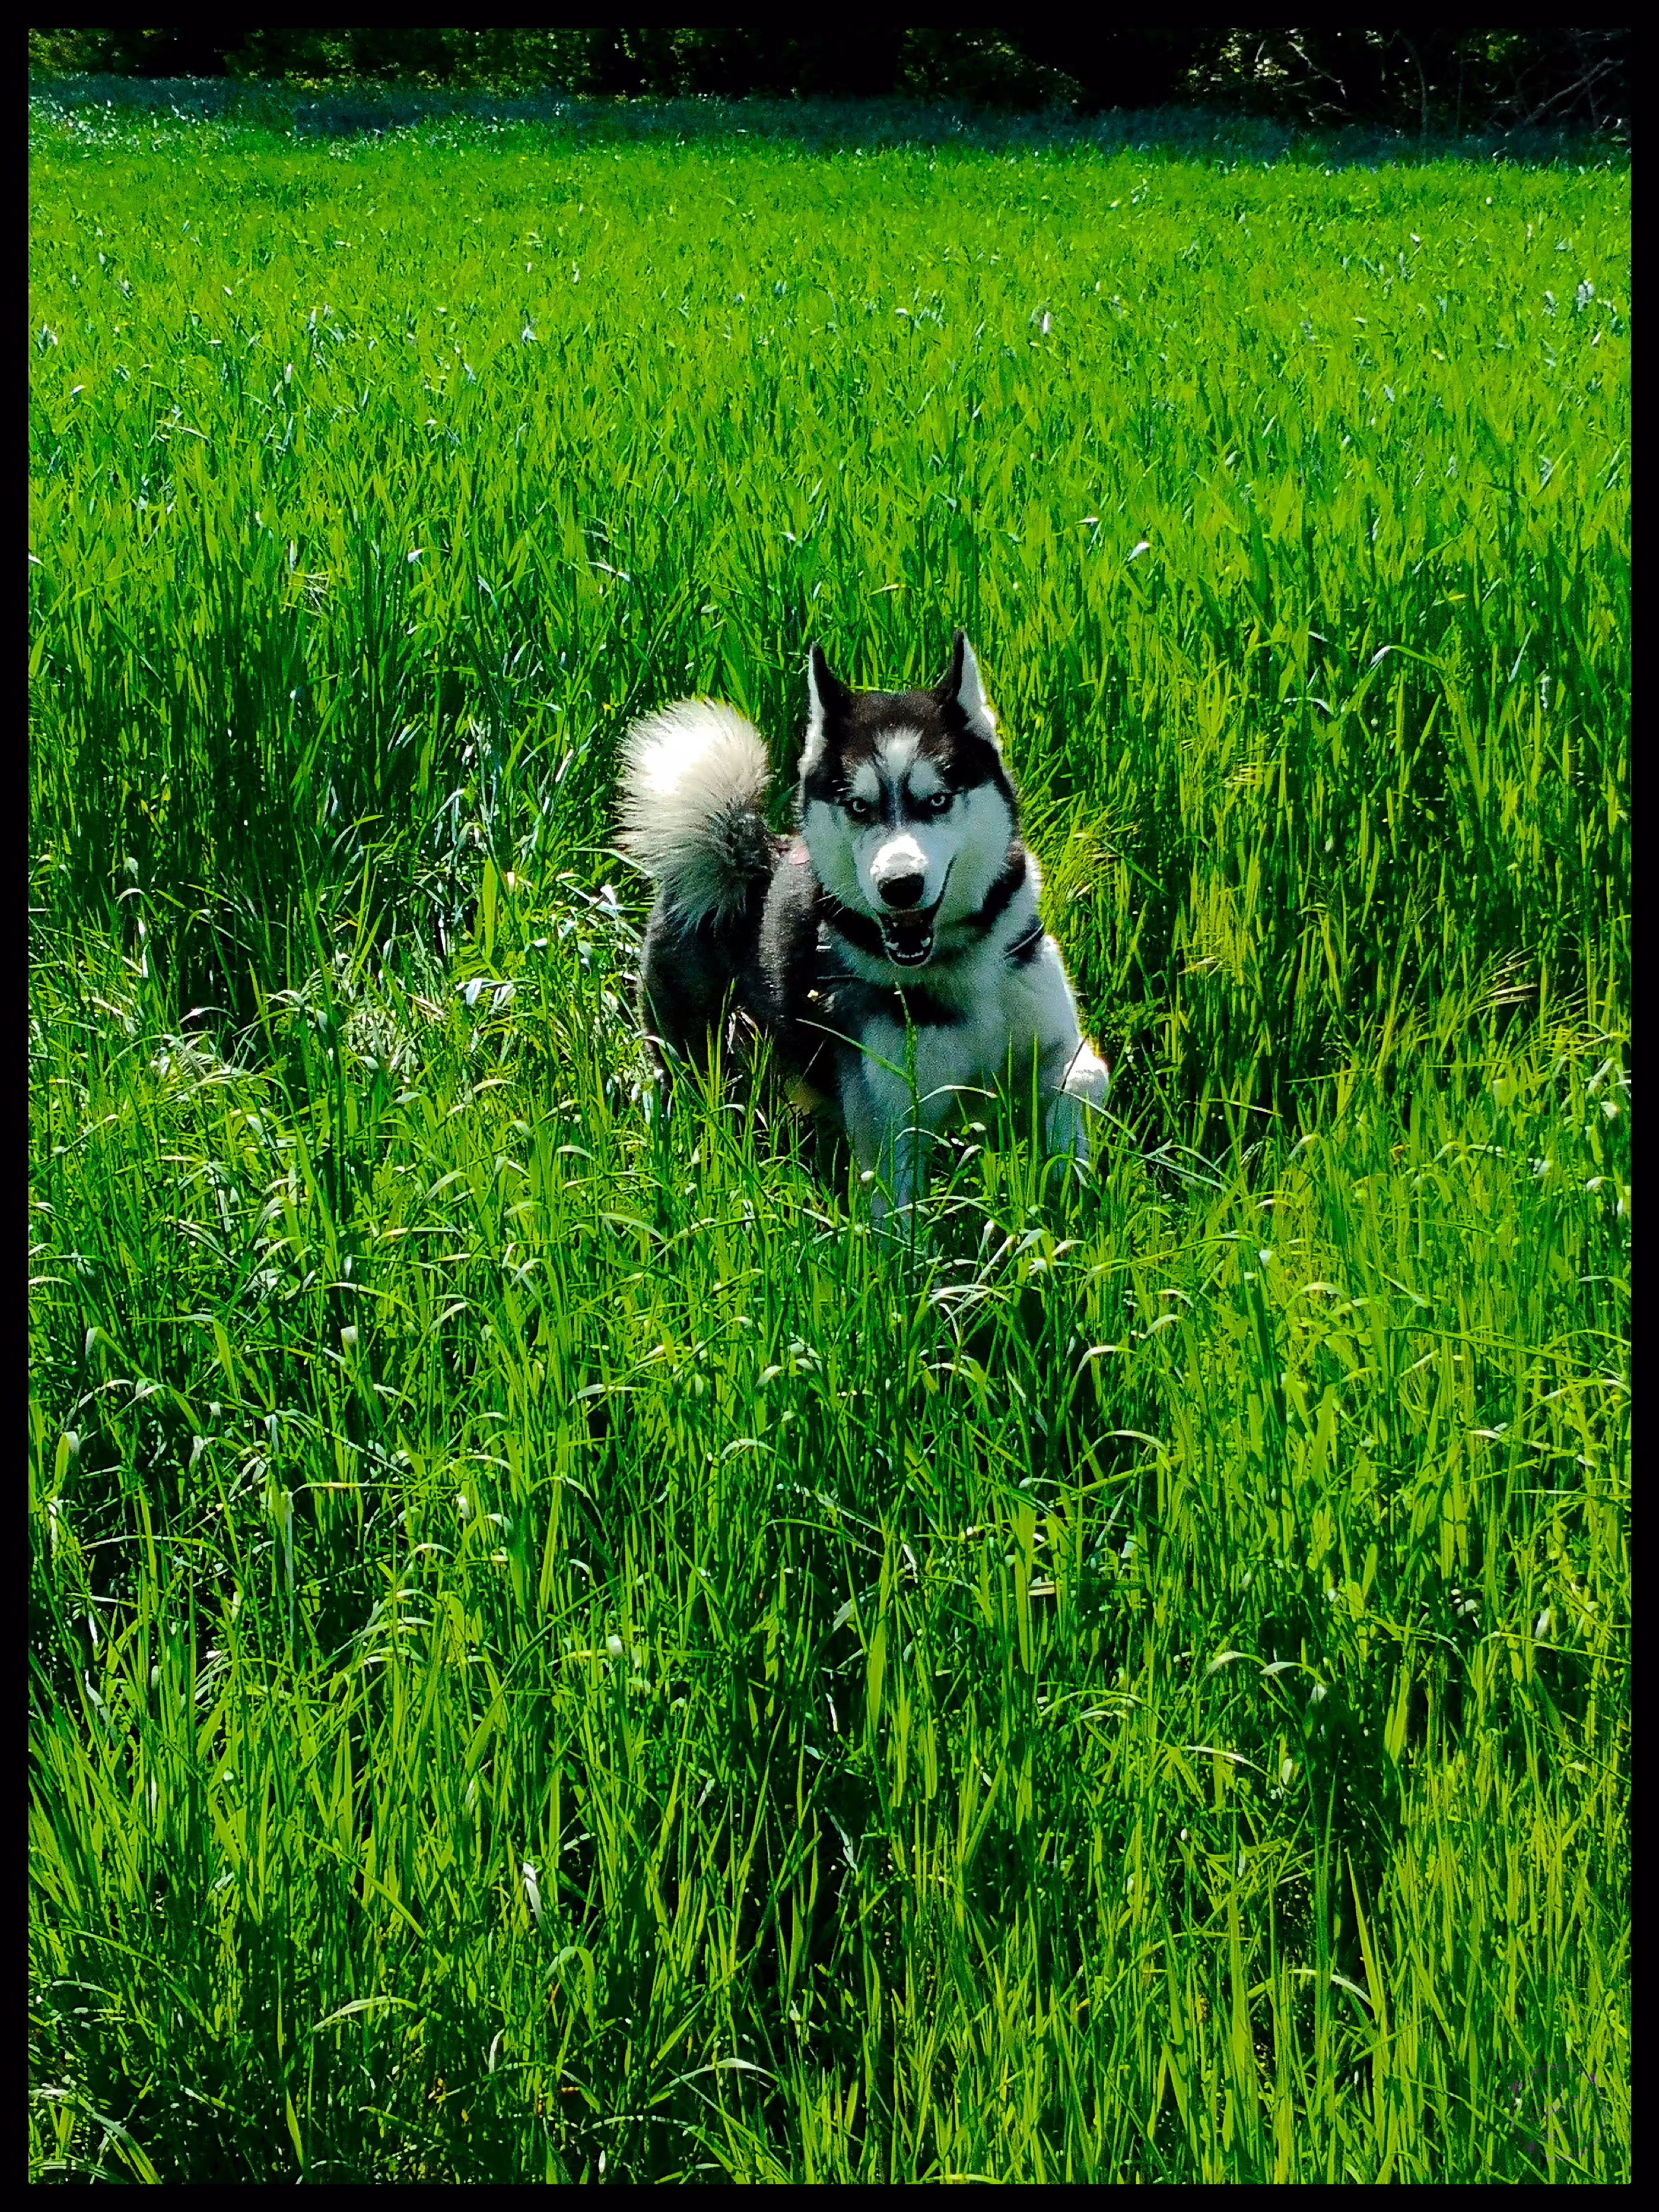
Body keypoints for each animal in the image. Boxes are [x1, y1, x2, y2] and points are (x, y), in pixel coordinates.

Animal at [616, 632, 1108, 1213]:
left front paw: (1067, 1178)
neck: (958, 965)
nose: (901, 885)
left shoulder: (1054, 1044)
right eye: (857, 806)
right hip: (700, 1067)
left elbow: (1085, 1080)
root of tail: (743, 857)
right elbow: (894, 1219)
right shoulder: (891, 1123)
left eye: (937, 800)